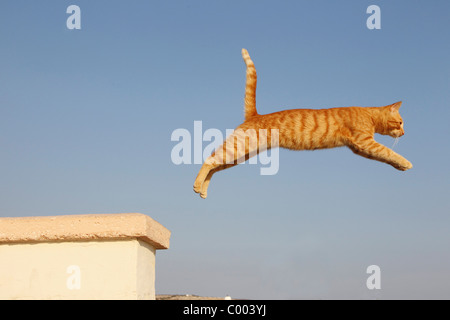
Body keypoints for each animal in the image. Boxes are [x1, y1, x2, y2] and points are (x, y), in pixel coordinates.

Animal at [193, 48, 412, 199]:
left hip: (241, 154)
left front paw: (399, 167)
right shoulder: (364, 141)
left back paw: (203, 190)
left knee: (216, 165)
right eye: (400, 123)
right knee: (209, 159)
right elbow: (388, 151)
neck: (369, 114)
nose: (404, 134)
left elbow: (384, 156)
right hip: (239, 148)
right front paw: (406, 162)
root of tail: (254, 115)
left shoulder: (360, 148)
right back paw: (196, 184)